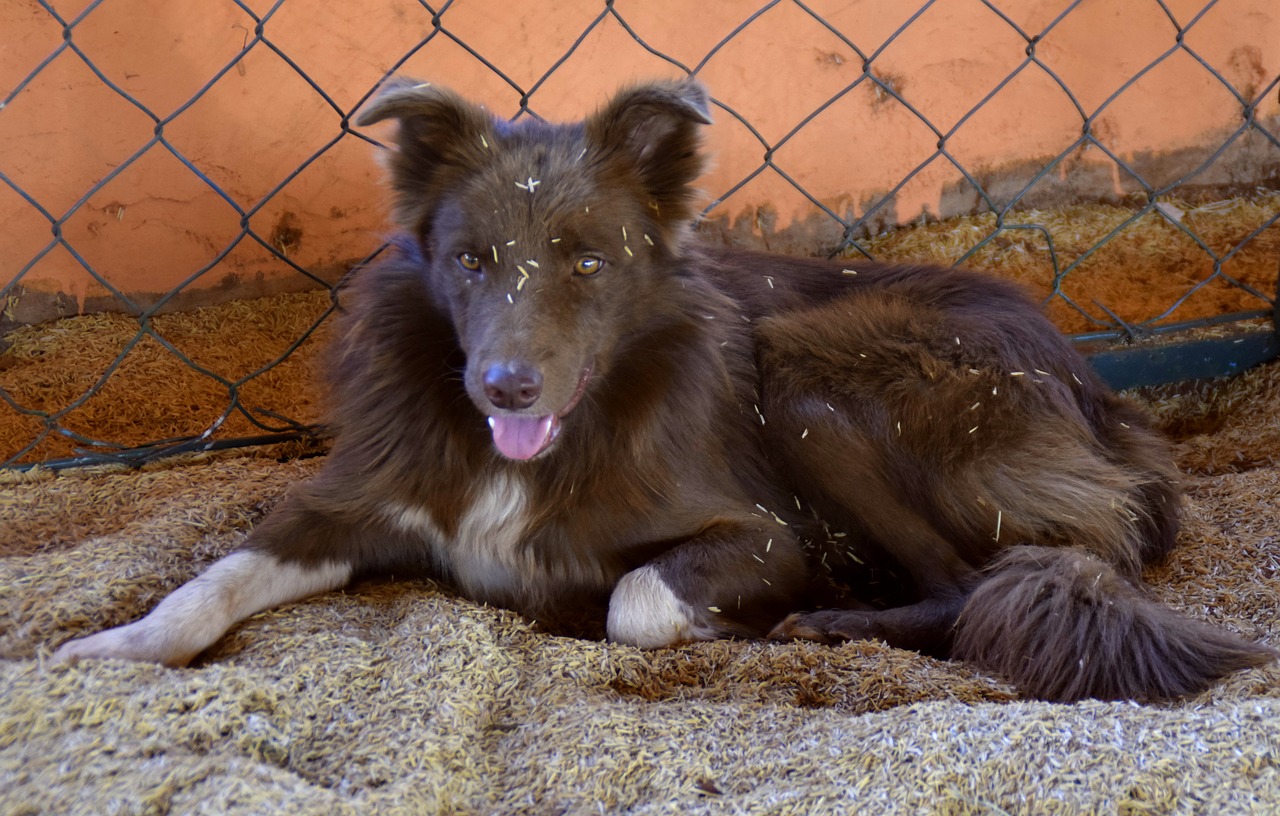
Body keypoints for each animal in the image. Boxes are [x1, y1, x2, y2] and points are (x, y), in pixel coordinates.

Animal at [55, 75, 1274, 706]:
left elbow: (634, 602)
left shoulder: (763, 531)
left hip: (810, 376)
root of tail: (1103, 400)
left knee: (964, 587)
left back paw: (825, 625)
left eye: (590, 260)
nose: (505, 388)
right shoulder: (347, 501)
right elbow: (209, 581)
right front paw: (114, 653)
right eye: (470, 259)